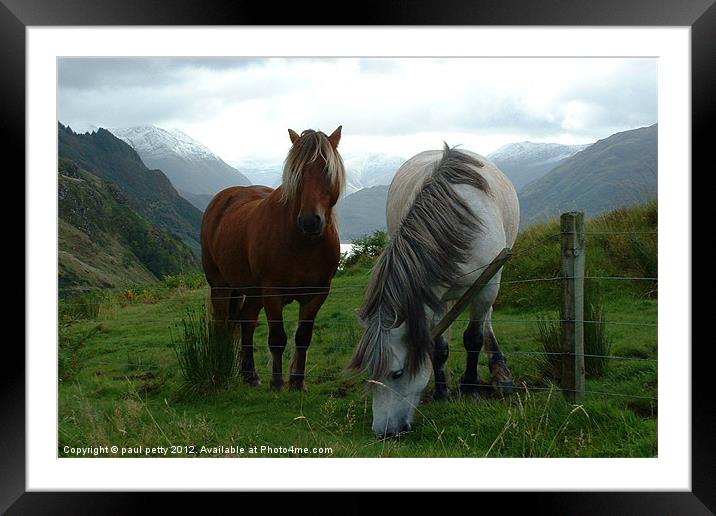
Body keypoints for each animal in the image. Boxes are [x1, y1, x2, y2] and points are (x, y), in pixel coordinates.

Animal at [200, 126, 346, 392]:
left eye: (326, 170)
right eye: (297, 172)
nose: (310, 222)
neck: (302, 244)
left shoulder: (317, 294)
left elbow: (303, 338)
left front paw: (297, 383)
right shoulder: (272, 292)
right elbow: (277, 338)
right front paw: (277, 383)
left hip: (252, 292)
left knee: (246, 321)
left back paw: (250, 374)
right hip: (221, 286)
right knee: (221, 325)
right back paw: (220, 369)